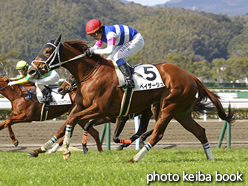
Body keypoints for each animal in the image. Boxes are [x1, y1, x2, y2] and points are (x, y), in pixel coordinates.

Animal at [28, 34, 233, 162]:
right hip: (181, 112)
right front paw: (40, 149)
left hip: (168, 106)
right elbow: (64, 125)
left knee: (157, 133)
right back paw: (210, 158)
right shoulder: (82, 107)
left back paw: (134, 158)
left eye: (47, 52)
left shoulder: (100, 109)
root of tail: (191, 76)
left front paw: (66, 152)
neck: (91, 74)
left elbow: (71, 121)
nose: (31, 70)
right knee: (199, 131)